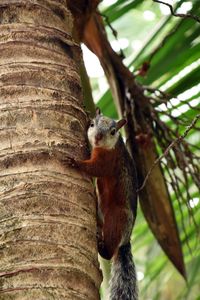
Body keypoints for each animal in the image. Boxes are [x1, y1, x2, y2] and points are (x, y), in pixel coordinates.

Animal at [67, 108, 138, 300]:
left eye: (113, 131)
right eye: (92, 124)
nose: (98, 137)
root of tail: (126, 238)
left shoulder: (109, 160)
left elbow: (96, 168)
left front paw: (76, 163)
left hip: (116, 218)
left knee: (110, 250)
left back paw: (102, 247)